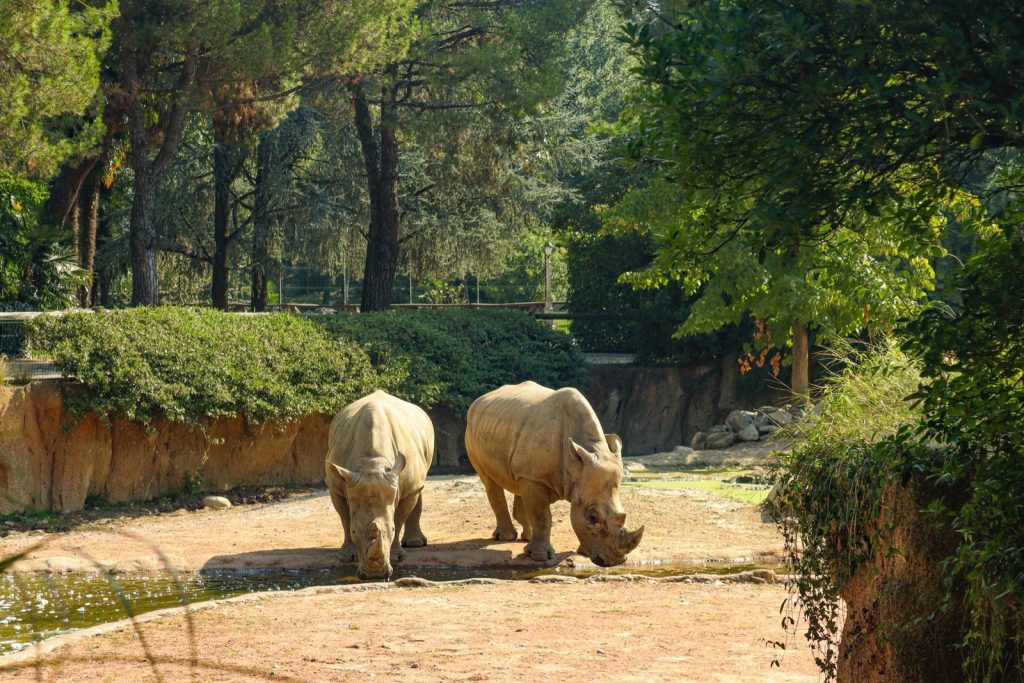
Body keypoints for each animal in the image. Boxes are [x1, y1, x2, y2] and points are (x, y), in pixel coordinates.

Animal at [325, 390, 433, 579]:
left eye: (390, 531)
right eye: (354, 532)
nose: (374, 575)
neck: (371, 464)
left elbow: (399, 517)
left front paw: (396, 556)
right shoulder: (337, 485)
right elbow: (345, 518)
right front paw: (346, 556)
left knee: (417, 489)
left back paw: (415, 544)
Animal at [465, 381, 644, 566]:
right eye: (593, 517)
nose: (614, 562)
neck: (576, 466)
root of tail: (480, 400)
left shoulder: (545, 476)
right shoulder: (536, 479)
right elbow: (542, 516)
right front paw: (540, 557)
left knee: (519, 484)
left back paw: (527, 538)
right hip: (471, 430)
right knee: (490, 482)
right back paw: (506, 537)